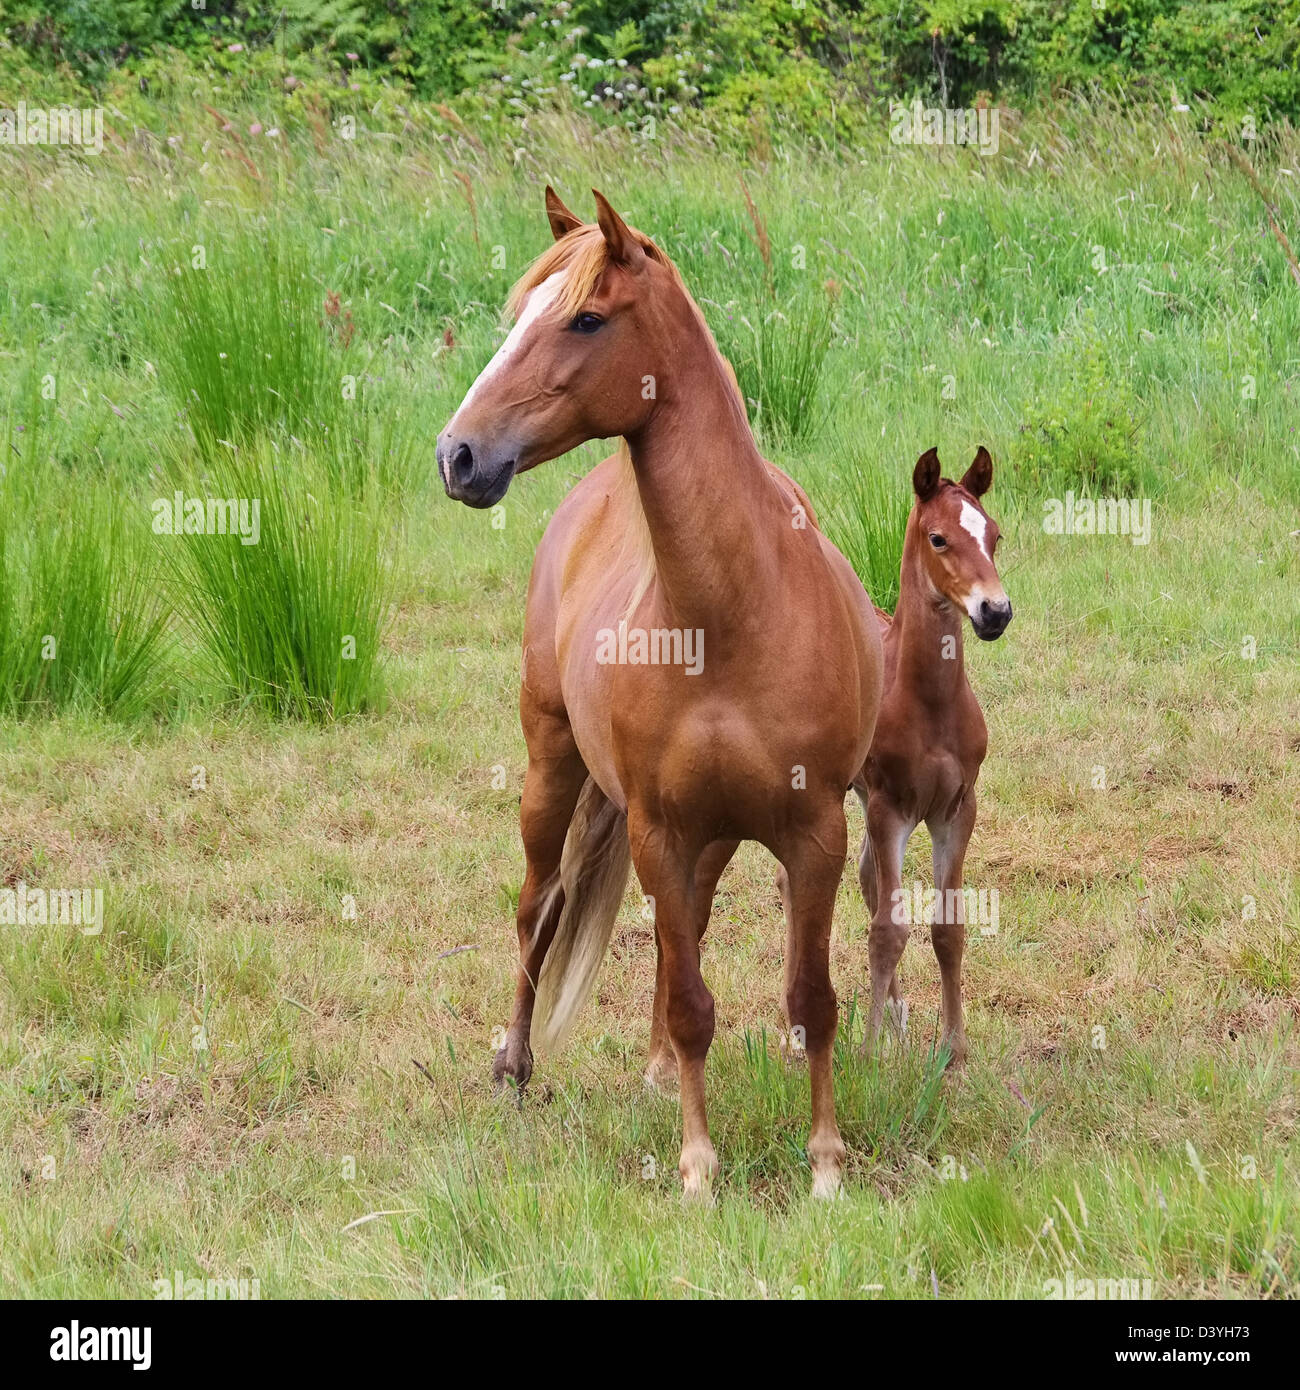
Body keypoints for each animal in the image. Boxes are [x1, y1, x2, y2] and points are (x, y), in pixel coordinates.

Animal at [436, 190, 884, 1200]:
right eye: (519, 314)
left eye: (584, 319)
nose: (459, 455)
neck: (728, 615)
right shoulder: (658, 832)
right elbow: (688, 1003)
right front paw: (698, 1167)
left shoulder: (813, 836)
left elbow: (809, 998)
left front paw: (826, 1165)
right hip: (553, 770)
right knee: (539, 906)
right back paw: (515, 1065)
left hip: (706, 839)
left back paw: (646, 1072)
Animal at [856, 444, 1012, 1061]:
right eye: (939, 538)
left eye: (994, 535)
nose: (996, 612)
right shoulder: (890, 807)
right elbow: (887, 930)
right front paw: (868, 1055)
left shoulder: (956, 810)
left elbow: (948, 928)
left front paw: (953, 1051)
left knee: (866, 880)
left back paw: (899, 1016)